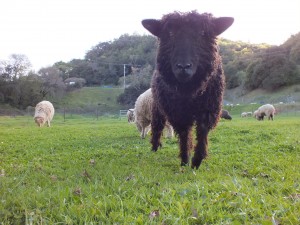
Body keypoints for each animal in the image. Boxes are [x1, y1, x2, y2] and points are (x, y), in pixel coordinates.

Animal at [143, 11, 234, 169]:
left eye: (203, 33)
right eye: (170, 33)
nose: (183, 67)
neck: (189, 91)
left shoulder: (208, 108)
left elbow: (202, 132)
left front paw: (197, 160)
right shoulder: (178, 111)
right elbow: (185, 134)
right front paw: (185, 159)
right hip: (157, 107)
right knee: (157, 126)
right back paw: (154, 147)